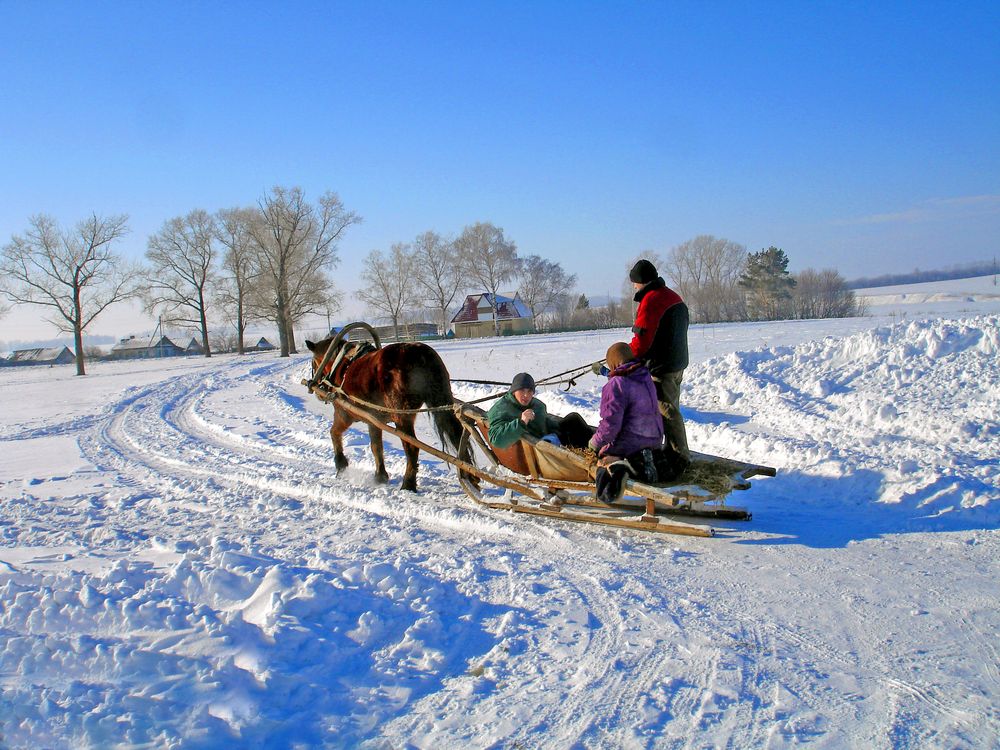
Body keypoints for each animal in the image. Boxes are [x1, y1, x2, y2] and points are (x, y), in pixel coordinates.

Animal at [302, 324, 474, 494]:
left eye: (313, 363)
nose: (315, 387)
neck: (341, 365)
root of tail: (420, 354)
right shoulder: (373, 420)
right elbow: (376, 446)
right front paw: (380, 475)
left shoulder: (344, 413)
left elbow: (334, 433)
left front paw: (341, 465)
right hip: (440, 401)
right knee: (456, 436)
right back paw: (471, 477)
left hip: (402, 416)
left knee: (412, 447)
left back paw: (408, 484)